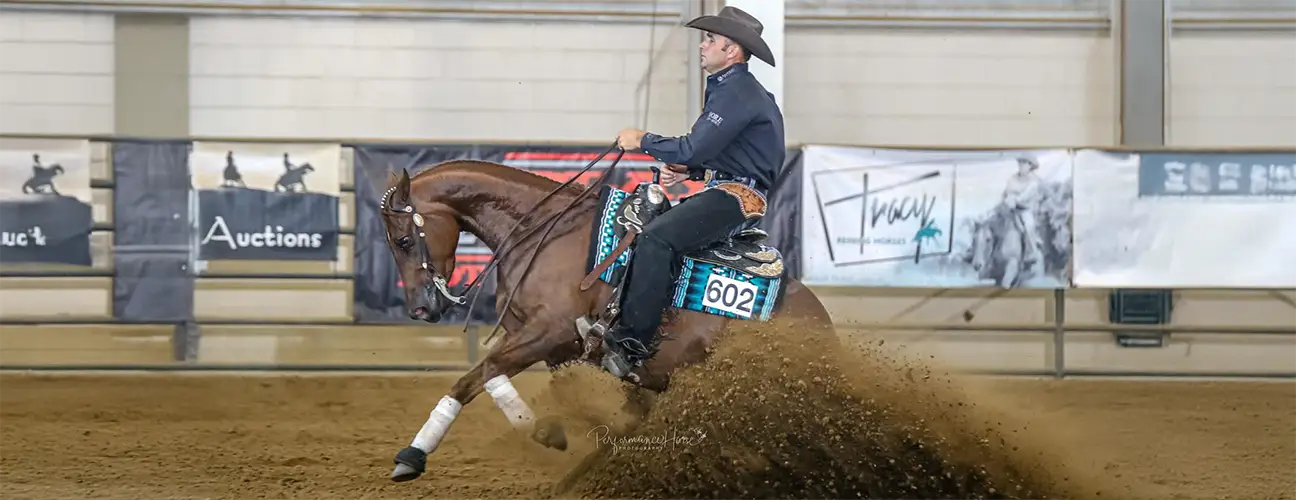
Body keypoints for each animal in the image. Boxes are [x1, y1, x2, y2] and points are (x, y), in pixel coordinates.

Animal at [374, 151, 837, 485]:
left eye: (403, 240)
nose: (419, 309)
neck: (542, 231)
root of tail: (822, 325)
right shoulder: (547, 342)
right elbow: (488, 378)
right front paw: (541, 429)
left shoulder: (548, 331)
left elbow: (481, 373)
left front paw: (414, 454)